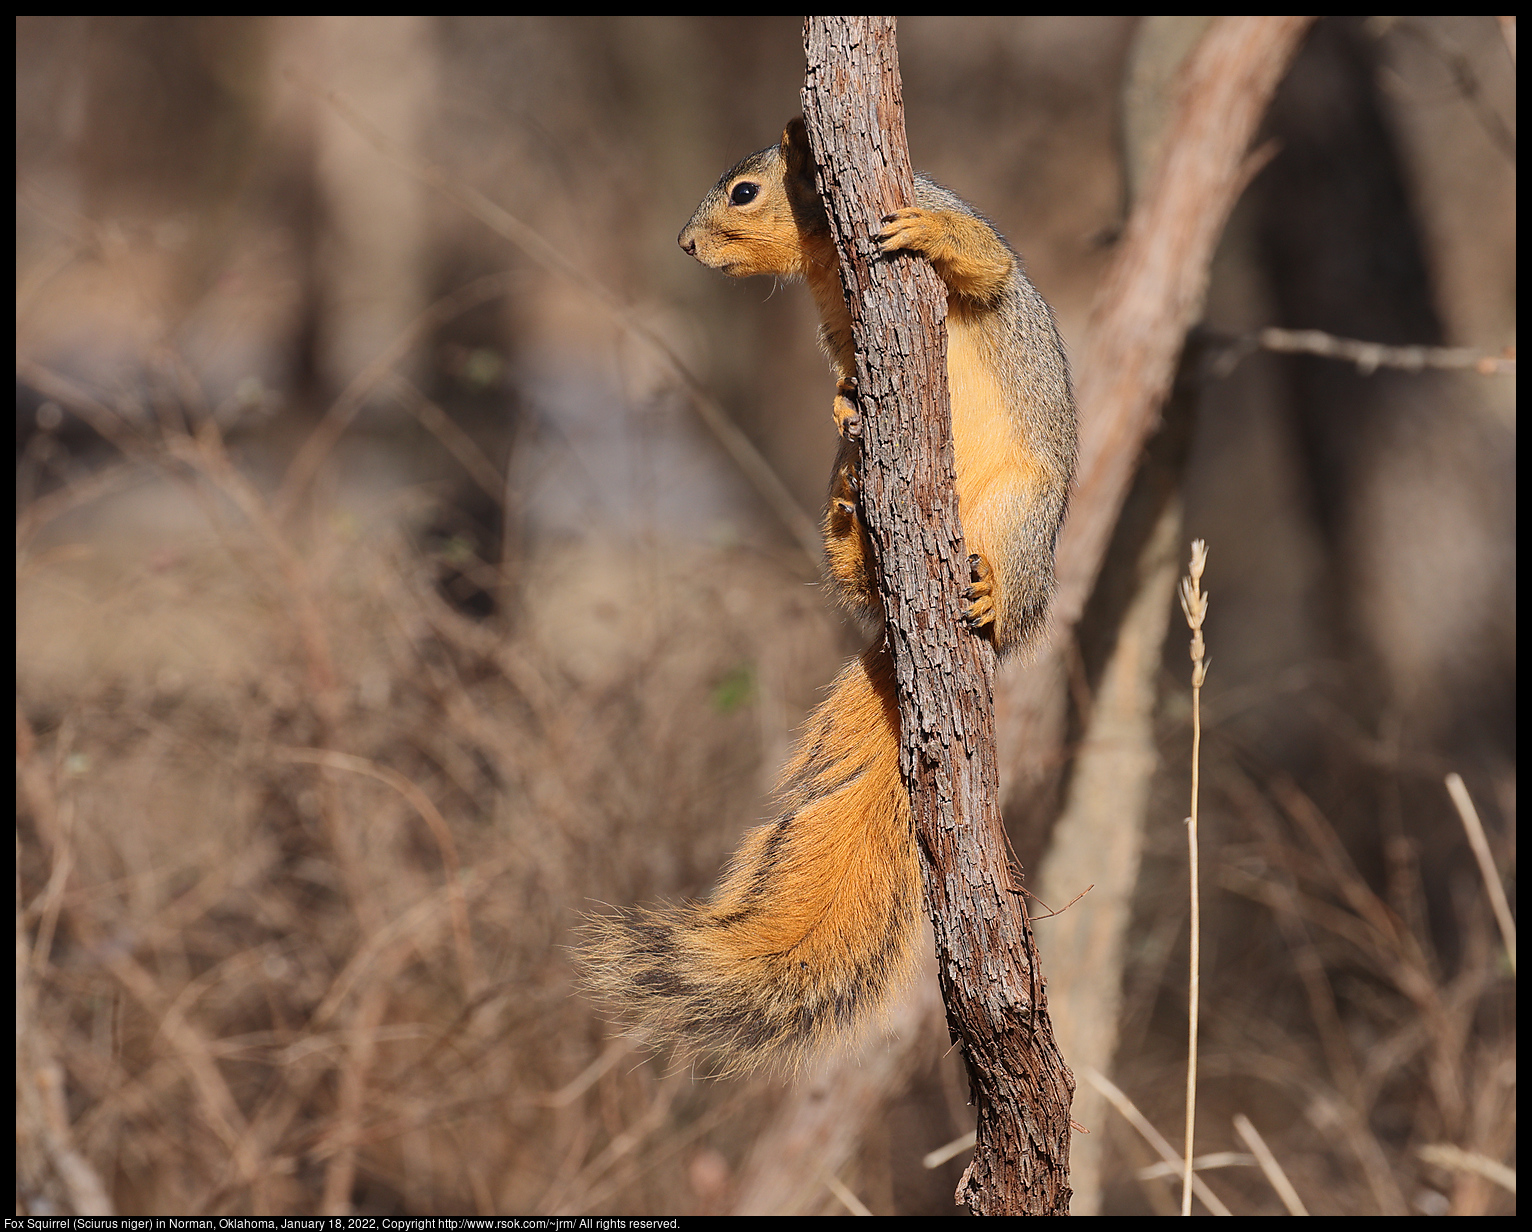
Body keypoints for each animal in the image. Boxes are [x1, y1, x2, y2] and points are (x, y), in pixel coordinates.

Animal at [579, 120, 1072, 1072]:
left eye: (743, 191)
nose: (685, 245)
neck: (820, 254)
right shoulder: (839, 329)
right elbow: (847, 375)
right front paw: (846, 401)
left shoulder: (962, 238)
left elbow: (987, 262)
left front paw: (923, 234)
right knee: (853, 562)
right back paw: (848, 520)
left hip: (1024, 518)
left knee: (1010, 587)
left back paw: (991, 598)